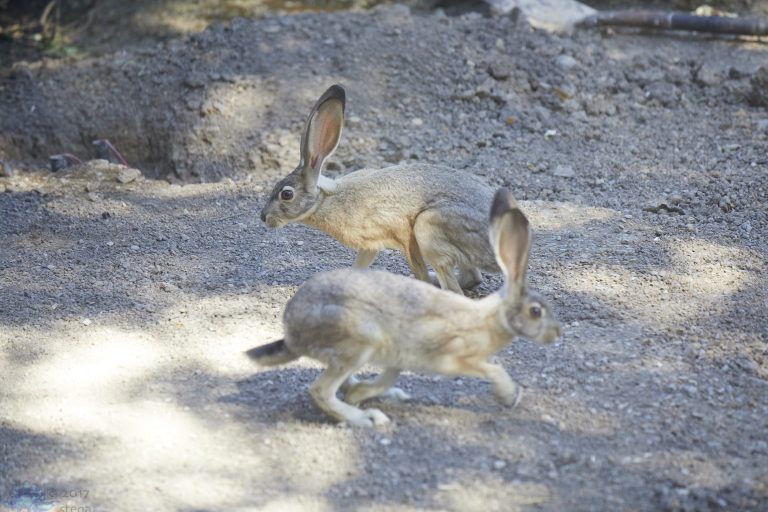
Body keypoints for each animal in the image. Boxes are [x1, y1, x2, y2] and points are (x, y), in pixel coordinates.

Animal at [247, 188, 562, 427]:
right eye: (536, 311)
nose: (556, 334)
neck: (489, 318)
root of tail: (292, 333)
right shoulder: (455, 358)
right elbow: (493, 369)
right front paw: (510, 397)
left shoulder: (400, 359)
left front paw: (365, 393)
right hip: (360, 340)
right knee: (320, 391)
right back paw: (367, 419)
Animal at [259, 84, 499, 294]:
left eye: (286, 194)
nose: (263, 217)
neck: (326, 199)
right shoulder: (370, 244)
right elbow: (359, 266)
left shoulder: (402, 233)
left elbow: (416, 267)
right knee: (472, 277)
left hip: (428, 228)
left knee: (454, 289)